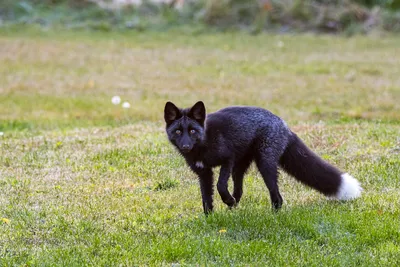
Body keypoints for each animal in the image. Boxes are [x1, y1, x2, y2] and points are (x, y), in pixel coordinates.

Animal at [163, 101, 362, 216]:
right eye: (178, 132)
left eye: (192, 131)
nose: (185, 146)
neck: (205, 140)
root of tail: (284, 125)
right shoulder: (204, 172)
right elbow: (206, 197)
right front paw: (209, 218)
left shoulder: (227, 160)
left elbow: (220, 186)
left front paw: (223, 203)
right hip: (241, 168)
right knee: (239, 191)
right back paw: (232, 207)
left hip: (264, 165)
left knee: (277, 196)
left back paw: (272, 215)